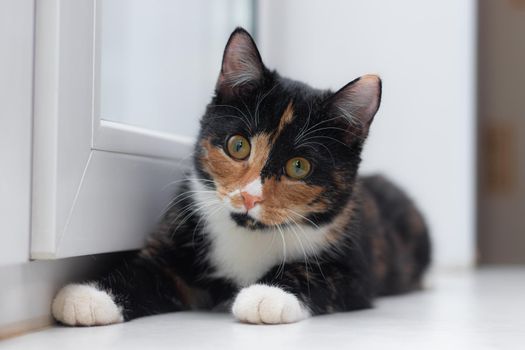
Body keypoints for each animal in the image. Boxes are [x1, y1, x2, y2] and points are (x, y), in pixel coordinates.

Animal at [52, 27, 430, 326]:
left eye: (299, 166)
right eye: (238, 146)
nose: (250, 196)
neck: (250, 234)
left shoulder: (356, 270)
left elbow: (316, 274)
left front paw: (267, 295)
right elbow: (150, 269)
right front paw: (90, 297)